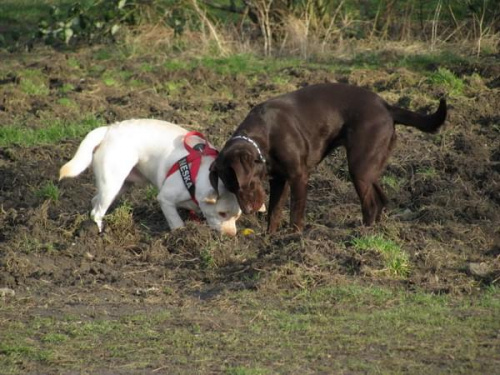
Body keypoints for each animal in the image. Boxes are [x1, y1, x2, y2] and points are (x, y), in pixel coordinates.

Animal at [58, 119, 242, 236]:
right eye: (222, 213)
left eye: (237, 217)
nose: (231, 235)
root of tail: (109, 129)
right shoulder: (165, 199)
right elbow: (175, 221)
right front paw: (181, 234)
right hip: (112, 184)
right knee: (97, 211)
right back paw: (98, 232)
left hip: (121, 185)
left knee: (95, 201)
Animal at [209, 83, 448, 234]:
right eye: (230, 188)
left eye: (246, 183)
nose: (248, 212)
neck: (263, 137)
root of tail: (387, 106)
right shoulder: (279, 180)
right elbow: (274, 212)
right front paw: (269, 239)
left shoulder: (298, 177)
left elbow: (295, 211)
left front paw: (292, 237)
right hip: (369, 167)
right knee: (380, 198)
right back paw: (377, 229)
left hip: (359, 167)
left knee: (370, 203)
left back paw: (363, 233)